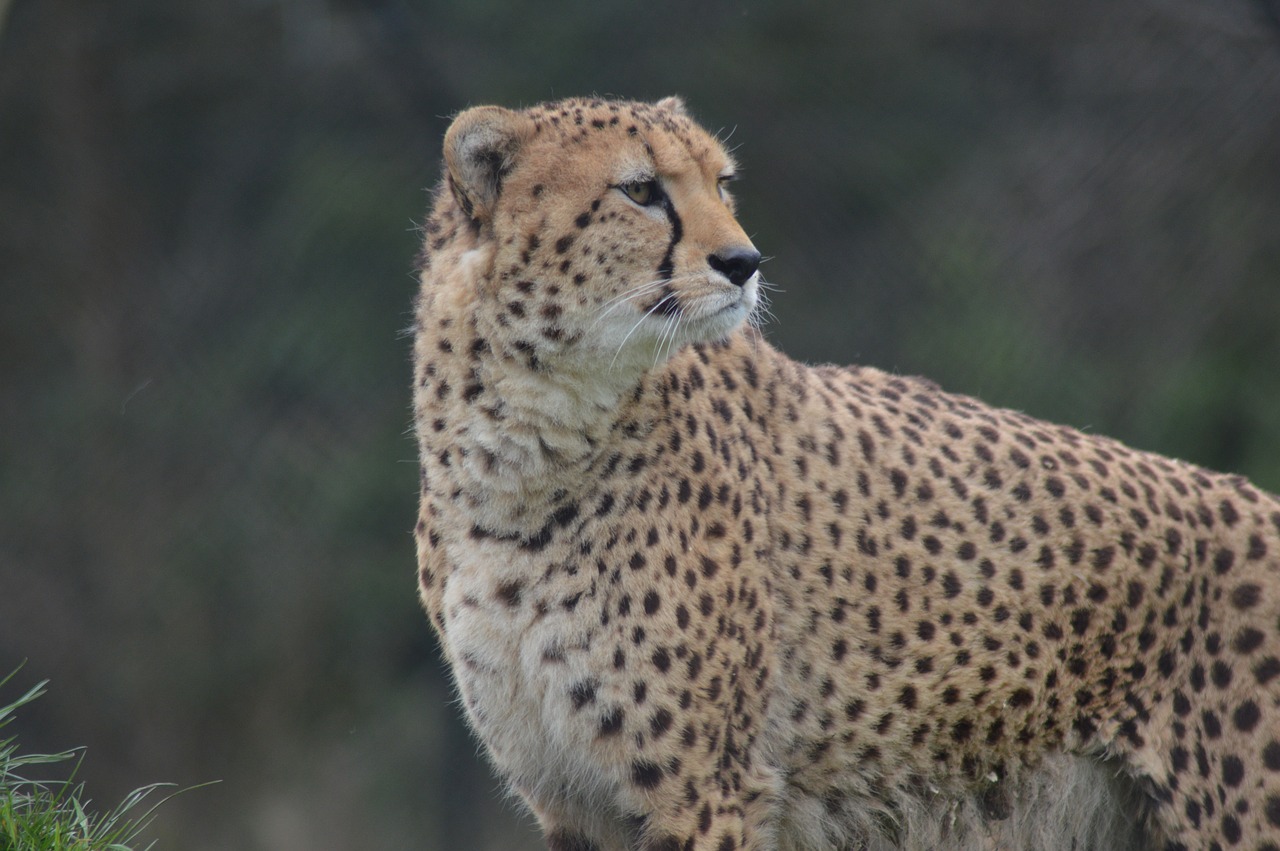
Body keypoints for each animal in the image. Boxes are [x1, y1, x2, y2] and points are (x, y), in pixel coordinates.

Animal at [412, 95, 1280, 844]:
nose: (743, 260)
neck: (521, 449)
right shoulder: (573, 797)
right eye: (640, 190)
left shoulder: (704, 791)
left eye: (721, 183)